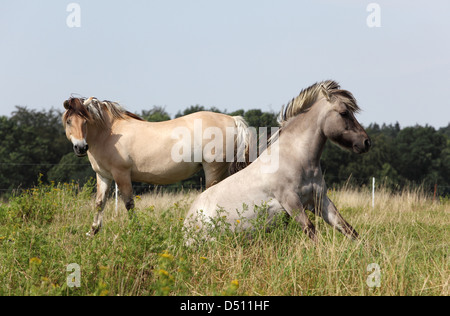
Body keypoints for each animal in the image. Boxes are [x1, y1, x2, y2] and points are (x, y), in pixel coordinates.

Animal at [62, 96, 256, 235]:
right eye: (69, 121)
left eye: (85, 121)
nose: (80, 147)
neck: (109, 133)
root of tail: (232, 119)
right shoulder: (103, 176)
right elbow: (99, 203)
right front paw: (92, 232)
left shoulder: (121, 174)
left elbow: (129, 204)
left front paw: (136, 232)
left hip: (214, 169)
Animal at [185, 81, 370, 242]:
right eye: (344, 113)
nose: (366, 142)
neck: (295, 158)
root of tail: (186, 222)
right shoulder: (291, 201)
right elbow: (311, 230)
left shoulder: (320, 200)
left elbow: (347, 228)